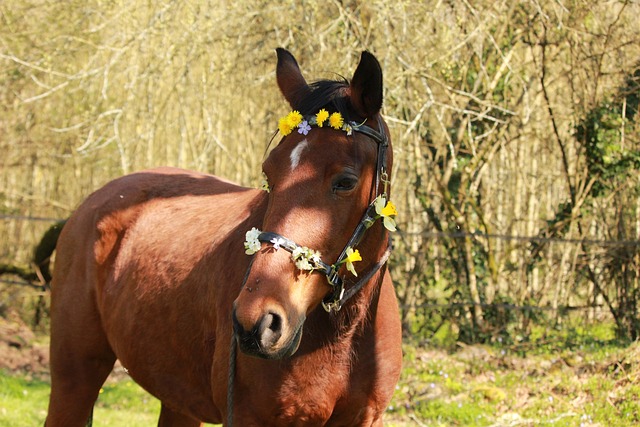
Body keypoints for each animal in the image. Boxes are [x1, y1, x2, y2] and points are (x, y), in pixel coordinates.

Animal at [47, 47, 402, 427]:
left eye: (345, 181)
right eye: (269, 173)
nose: (255, 323)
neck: (339, 336)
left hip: (177, 400)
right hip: (74, 380)